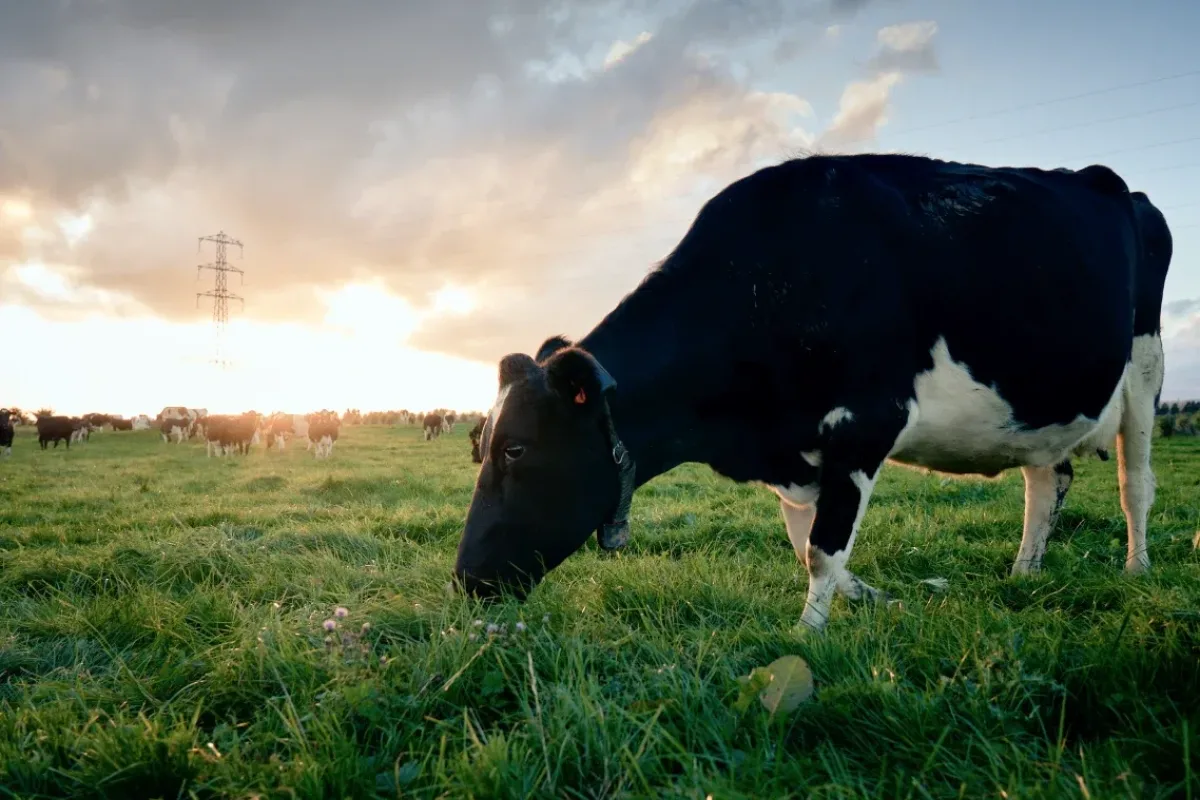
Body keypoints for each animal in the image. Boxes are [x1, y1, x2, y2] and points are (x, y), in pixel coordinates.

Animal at [451, 153, 1173, 632]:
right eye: (478, 445)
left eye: (515, 449)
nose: (464, 580)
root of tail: (1107, 179)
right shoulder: (795, 453)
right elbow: (809, 546)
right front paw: (875, 598)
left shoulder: (862, 424)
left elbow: (824, 550)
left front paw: (808, 635)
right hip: (1040, 407)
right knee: (1047, 480)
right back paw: (1023, 573)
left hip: (1145, 366)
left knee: (1134, 483)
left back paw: (1138, 571)